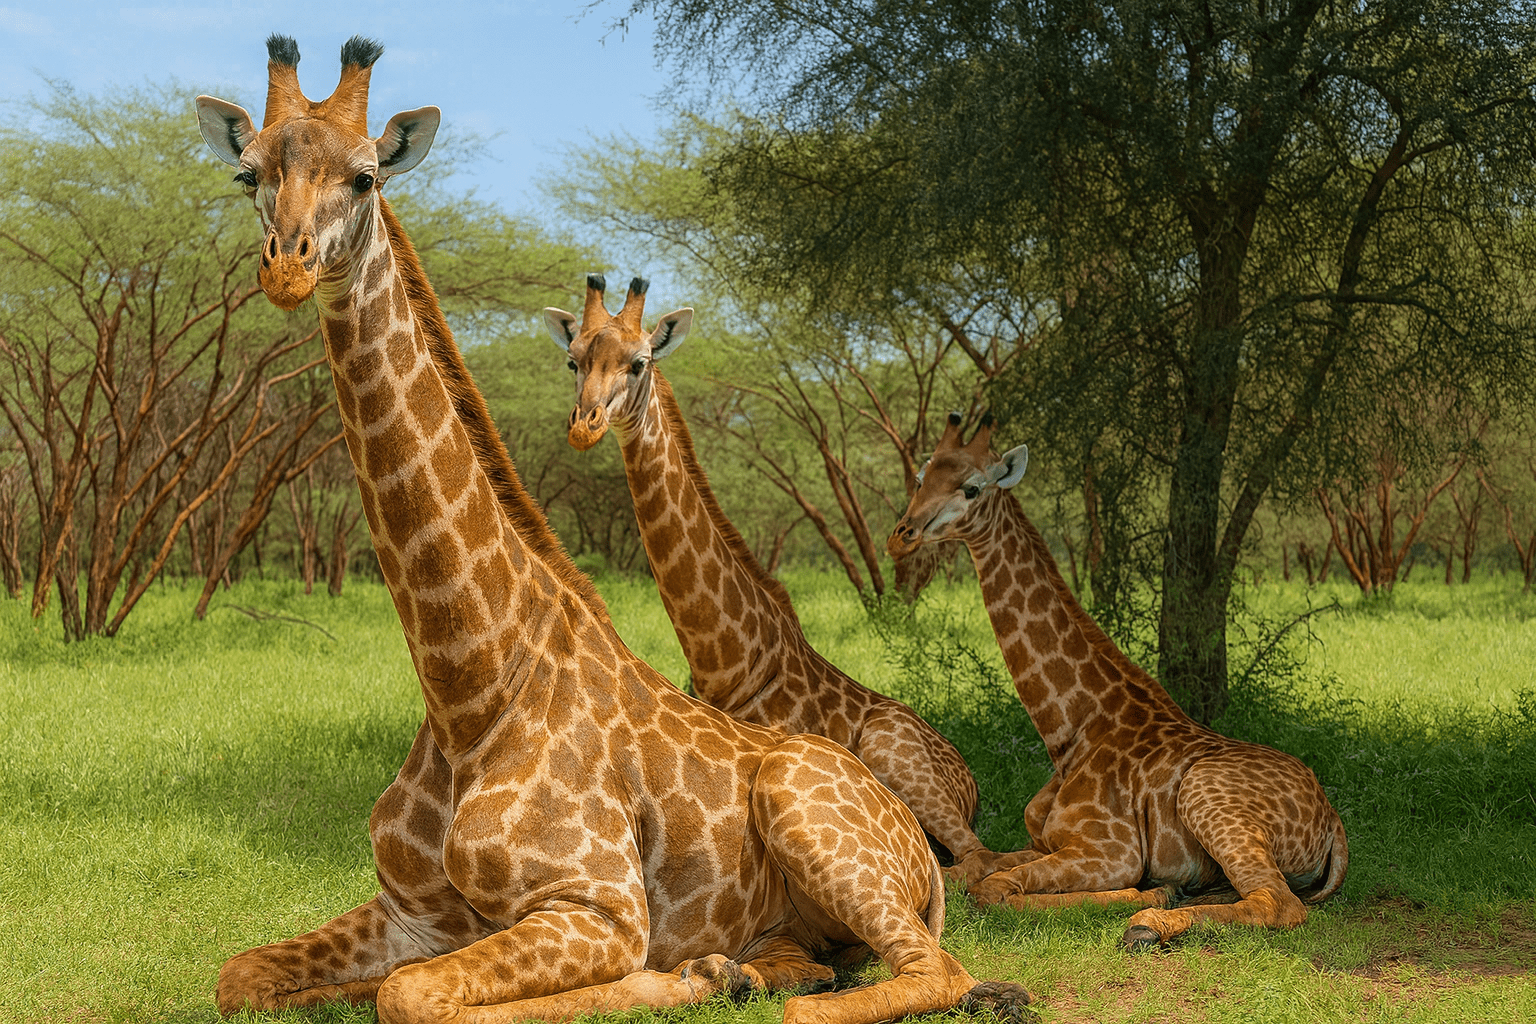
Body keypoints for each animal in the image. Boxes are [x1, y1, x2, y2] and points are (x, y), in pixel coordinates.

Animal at [543, 278, 1026, 885]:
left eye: (639, 362)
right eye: (572, 359)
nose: (585, 425)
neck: (726, 659)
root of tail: (972, 780)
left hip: (895, 756)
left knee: (977, 859)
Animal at [887, 413, 1349, 949]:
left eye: (972, 488)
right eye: (922, 477)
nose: (902, 535)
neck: (1069, 733)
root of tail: (1333, 822)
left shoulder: (1111, 852)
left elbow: (994, 888)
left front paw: (1148, 895)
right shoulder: (1040, 842)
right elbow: (971, 868)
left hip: (1208, 799)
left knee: (1278, 902)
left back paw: (1150, 923)